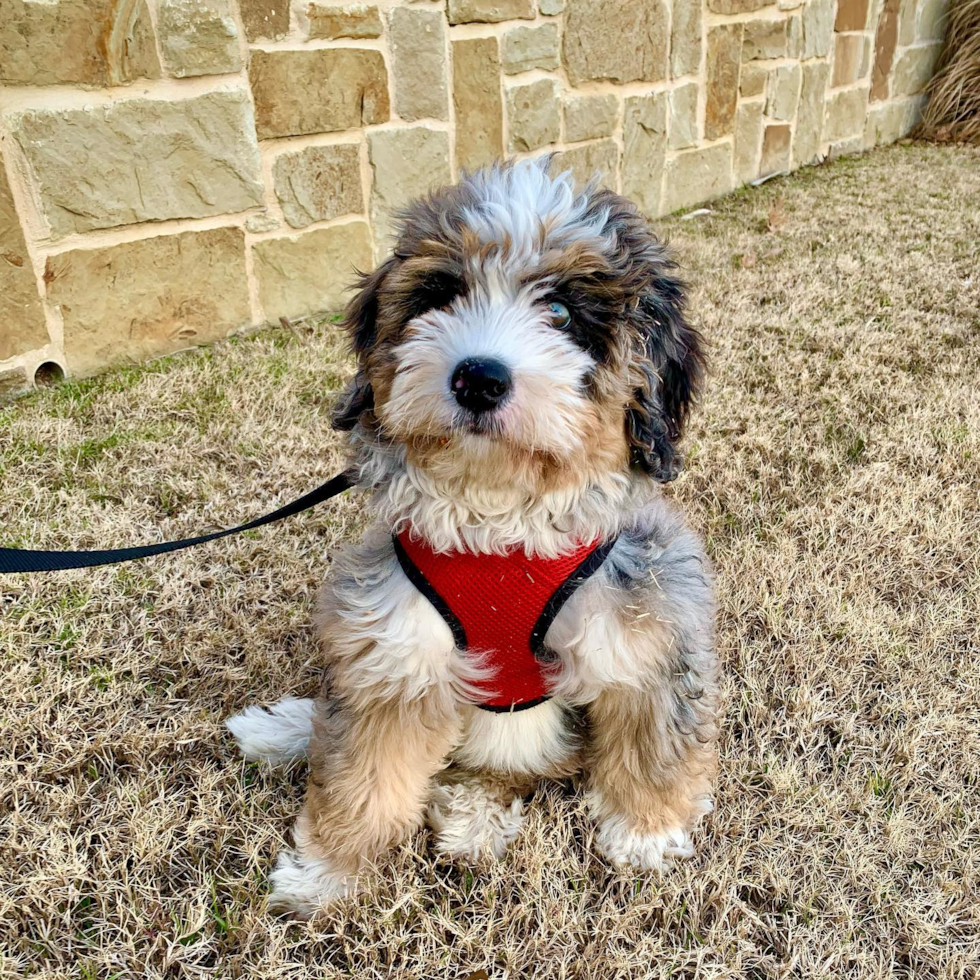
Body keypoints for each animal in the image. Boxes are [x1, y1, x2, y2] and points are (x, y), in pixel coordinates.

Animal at [230, 161, 720, 920]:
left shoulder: (652, 636)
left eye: (562, 315)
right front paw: (327, 873)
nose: (479, 377)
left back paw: (473, 821)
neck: (498, 525)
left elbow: (651, 744)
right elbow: (360, 775)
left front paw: (645, 834)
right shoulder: (389, 652)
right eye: (441, 294)